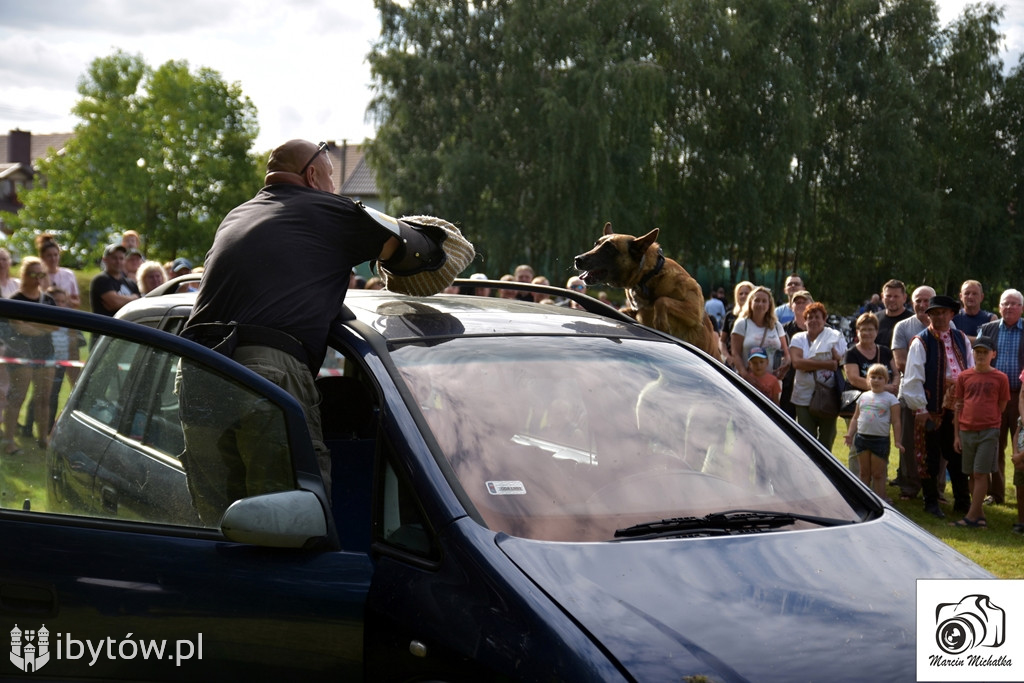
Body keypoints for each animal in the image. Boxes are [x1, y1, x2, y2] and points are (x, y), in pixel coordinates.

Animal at [577, 223, 720, 360]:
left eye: (609, 249)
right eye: (595, 244)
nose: (577, 259)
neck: (648, 276)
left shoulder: (694, 311)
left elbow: (661, 300)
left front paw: (661, 323)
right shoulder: (636, 310)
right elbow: (624, 310)